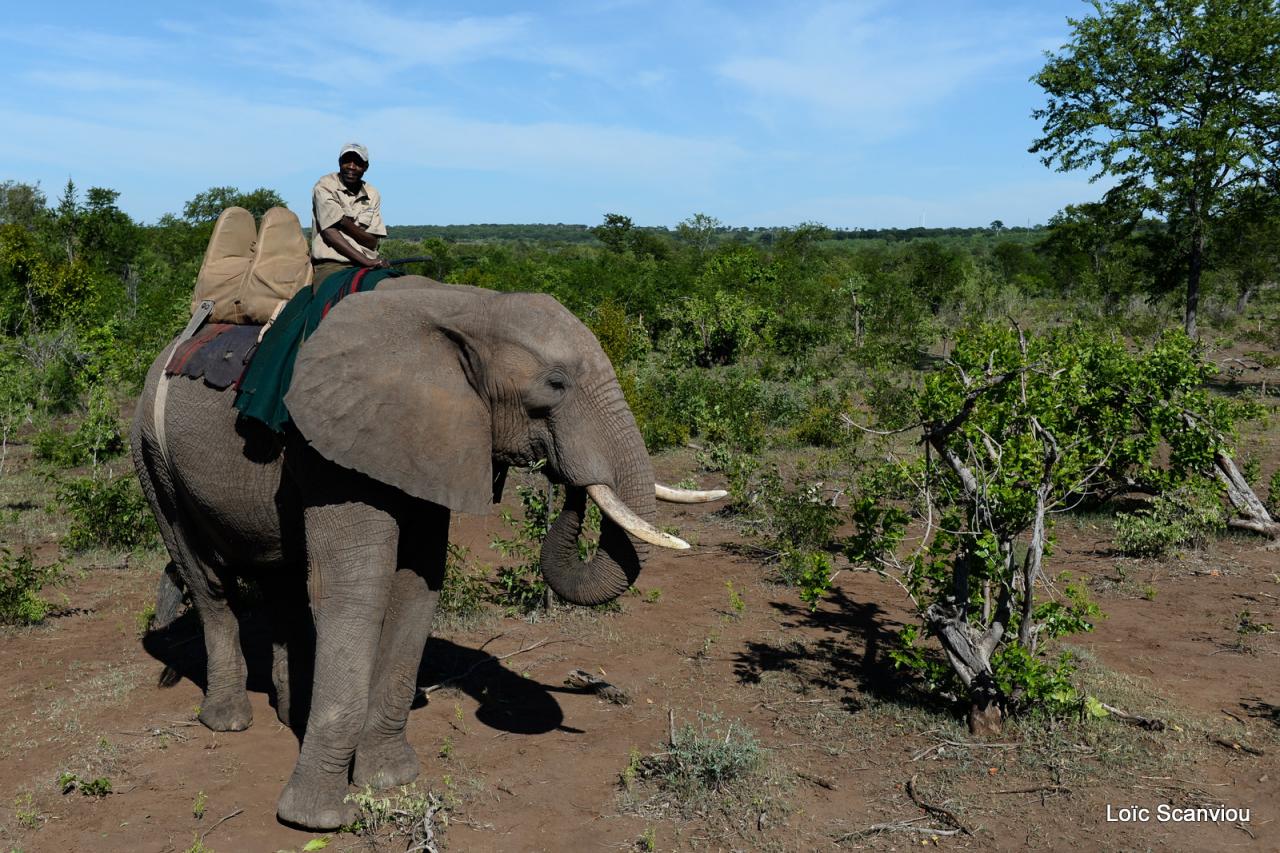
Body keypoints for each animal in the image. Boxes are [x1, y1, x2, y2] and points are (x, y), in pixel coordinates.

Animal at [136, 275, 732, 824]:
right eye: (555, 384)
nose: (565, 478)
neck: (463, 307)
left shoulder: (426, 439)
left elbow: (417, 583)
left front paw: (389, 777)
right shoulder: (333, 443)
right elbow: (357, 591)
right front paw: (314, 818)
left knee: (278, 579)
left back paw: (291, 714)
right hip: (151, 456)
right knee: (206, 580)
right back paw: (229, 719)